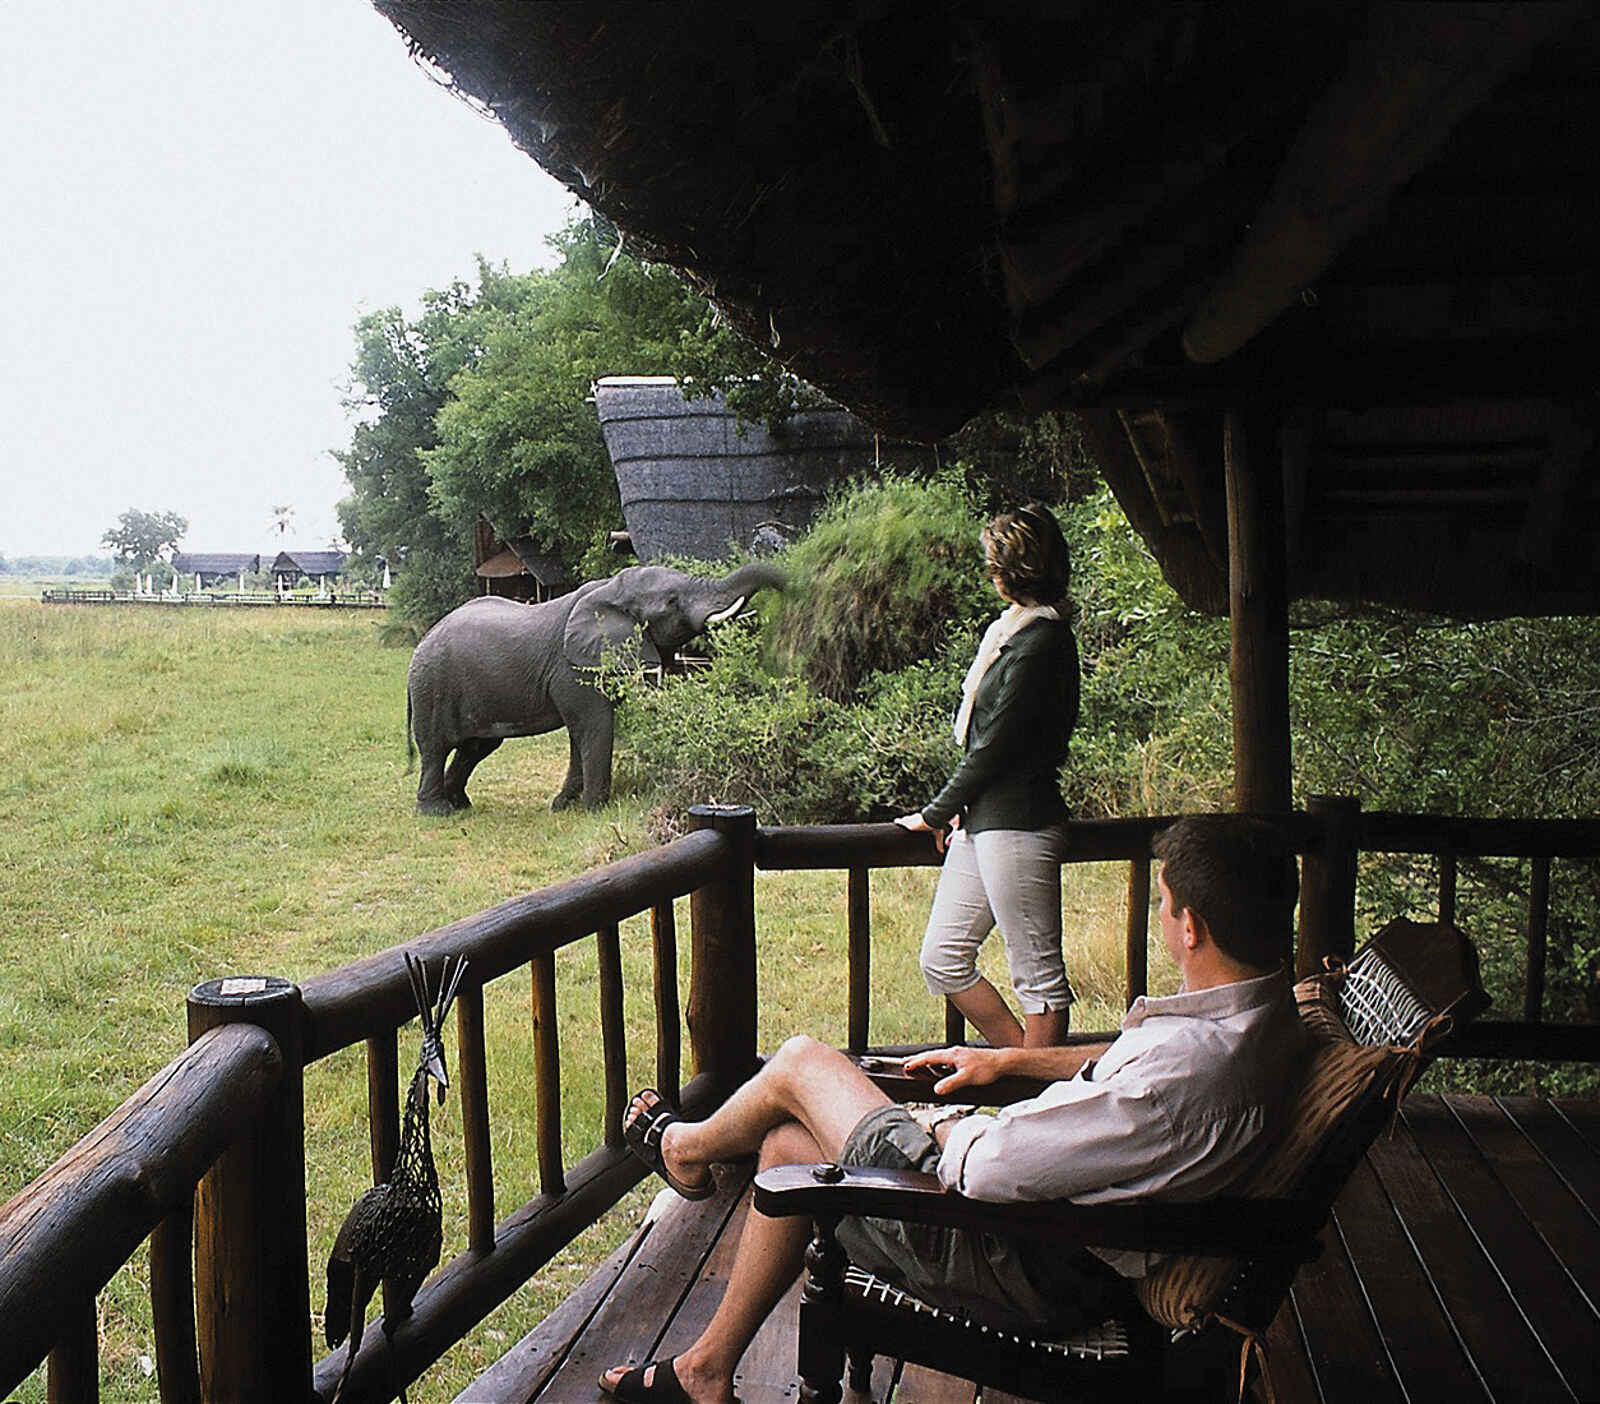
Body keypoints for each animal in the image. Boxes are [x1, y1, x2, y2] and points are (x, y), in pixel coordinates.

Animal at [405, 561, 784, 815]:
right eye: (672, 602)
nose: (790, 588)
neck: (609, 589)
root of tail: (422, 641)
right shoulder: (573, 668)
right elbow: (594, 725)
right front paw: (593, 810)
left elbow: (581, 733)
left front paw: (562, 806)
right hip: (432, 685)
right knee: (435, 747)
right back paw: (437, 811)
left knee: (475, 747)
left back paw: (461, 805)